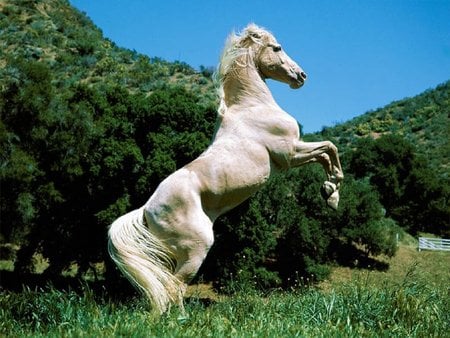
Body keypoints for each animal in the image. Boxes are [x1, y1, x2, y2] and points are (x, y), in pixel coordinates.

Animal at [107, 24, 342, 314]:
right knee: (175, 286)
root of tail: (146, 210)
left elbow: (327, 154)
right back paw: (181, 320)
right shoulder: (290, 153)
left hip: (173, 254)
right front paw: (332, 193)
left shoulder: (293, 153)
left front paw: (329, 193)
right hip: (196, 248)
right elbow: (329, 149)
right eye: (277, 48)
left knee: (168, 285)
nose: (301, 76)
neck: (252, 107)